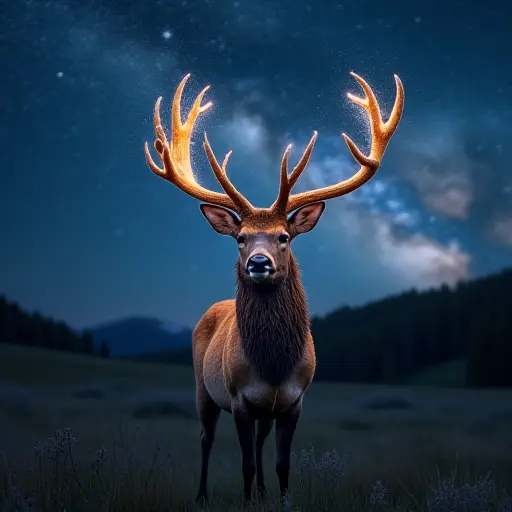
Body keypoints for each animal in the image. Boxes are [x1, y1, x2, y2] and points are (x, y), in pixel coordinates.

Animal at [143, 72, 404, 504]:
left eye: (284, 236)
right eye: (241, 238)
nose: (259, 263)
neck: (273, 364)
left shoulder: (294, 399)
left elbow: (282, 463)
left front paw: (281, 500)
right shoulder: (238, 397)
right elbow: (245, 463)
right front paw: (248, 500)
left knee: (260, 443)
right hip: (202, 388)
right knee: (206, 438)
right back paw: (201, 495)